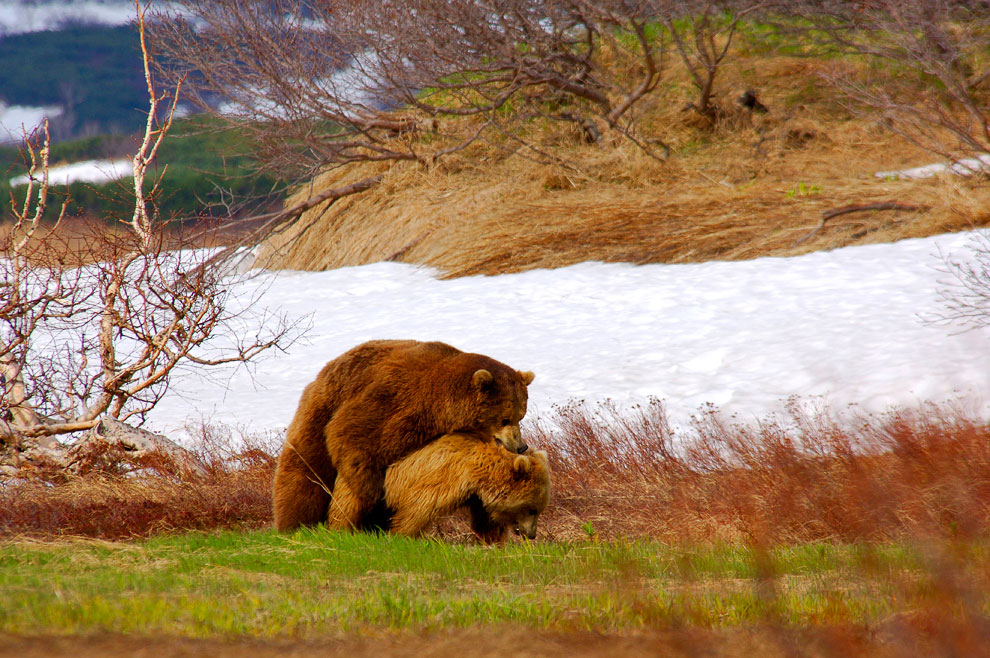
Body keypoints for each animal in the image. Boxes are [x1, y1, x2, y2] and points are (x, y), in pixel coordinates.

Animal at [272, 339, 535, 532]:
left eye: (521, 415)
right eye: (505, 418)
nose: (520, 446)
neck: (440, 405)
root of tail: (325, 369)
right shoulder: (397, 400)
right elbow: (352, 436)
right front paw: (376, 508)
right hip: (322, 409)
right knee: (304, 473)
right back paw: (295, 526)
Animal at [382, 431, 551, 542]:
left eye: (539, 510)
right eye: (532, 510)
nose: (532, 534)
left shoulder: (478, 500)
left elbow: (487, 525)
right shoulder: (439, 479)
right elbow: (414, 512)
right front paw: (401, 536)